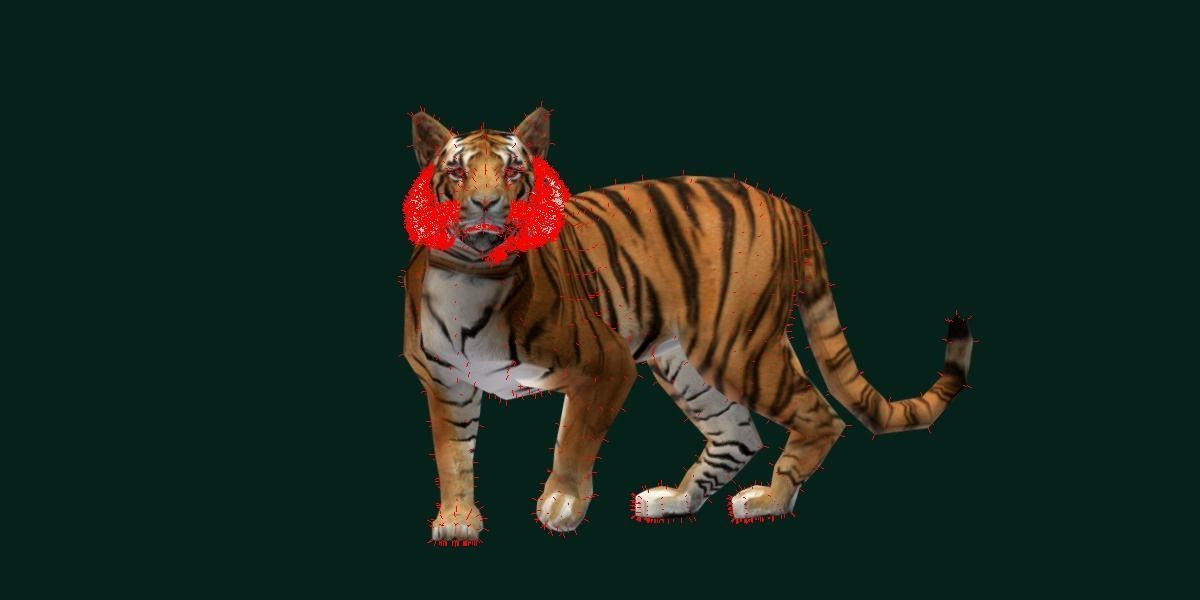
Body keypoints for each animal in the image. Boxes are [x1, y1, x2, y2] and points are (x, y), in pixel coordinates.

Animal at [403, 107, 974, 545]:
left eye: (513, 173)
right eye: (458, 174)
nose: (486, 204)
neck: (473, 275)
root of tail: (790, 208)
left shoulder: (605, 365)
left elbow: (574, 441)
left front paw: (561, 503)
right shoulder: (446, 383)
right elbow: (453, 455)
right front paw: (457, 520)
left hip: (738, 351)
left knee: (820, 417)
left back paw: (769, 500)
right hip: (688, 363)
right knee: (738, 434)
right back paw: (675, 500)